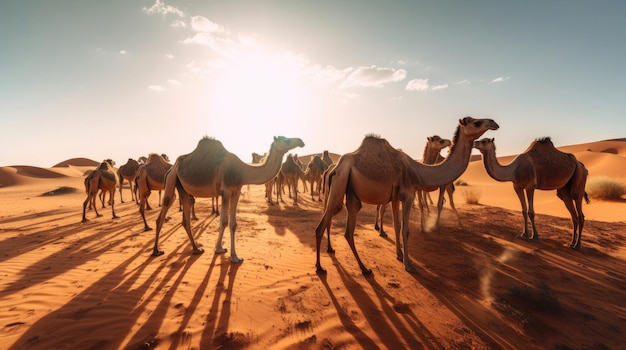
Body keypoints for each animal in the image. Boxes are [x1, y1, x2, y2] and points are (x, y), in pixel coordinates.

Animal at [151, 135, 302, 262]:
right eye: (285, 140)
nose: (301, 141)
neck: (242, 171)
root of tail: (172, 167)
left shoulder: (236, 191)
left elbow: (233, 223)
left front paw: (232, 254)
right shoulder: (227, 191)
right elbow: (223, 221)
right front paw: (227, 253)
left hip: (182, 187)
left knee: (186, 218)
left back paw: (196, 249)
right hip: (171, 179)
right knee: (164, 208)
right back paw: (156, 250)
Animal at [312, 116, 498, 274]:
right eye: (476, 122)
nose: (493, 122)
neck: (418, 171)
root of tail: (334, 169)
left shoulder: (395, 198)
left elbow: (396, 226)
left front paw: (399, 255)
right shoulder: (408, 195)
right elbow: (405, 229)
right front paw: (409, 265)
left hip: (349, 192)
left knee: (346, 230)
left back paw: (362, 268)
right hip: (339, 184)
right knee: (320, 227)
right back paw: (320, 268)